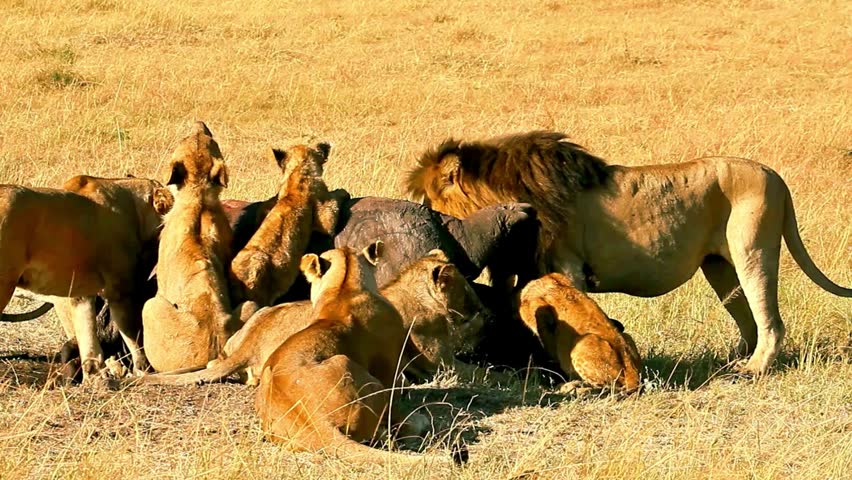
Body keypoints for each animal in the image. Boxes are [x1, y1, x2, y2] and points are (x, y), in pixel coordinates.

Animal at [0, 175, 172, 381]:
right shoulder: (120, 290)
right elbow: (133, 335)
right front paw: (143, 370)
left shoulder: (81, 292)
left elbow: (87, 335)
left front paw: (95, 376)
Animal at [133, 249, 487, 387]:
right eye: (468, 288)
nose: (483, 310)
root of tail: (251, 342)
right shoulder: (441, 363)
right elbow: (489, 374)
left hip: (255, 311)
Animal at [141, 121, 251, 374]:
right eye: (211, 139)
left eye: (184, 138)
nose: (200, 123)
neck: (199, 194)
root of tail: (214, 355)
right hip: (250, 305)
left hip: (149, 306)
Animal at [406, 130, 852, 375]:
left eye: (430, 204)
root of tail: (775, 176)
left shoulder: (567, 265)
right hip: (719, 267)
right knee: (745, 317)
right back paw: (733, 358)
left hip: (752, 249)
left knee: (770, 319)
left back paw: (754, 368)